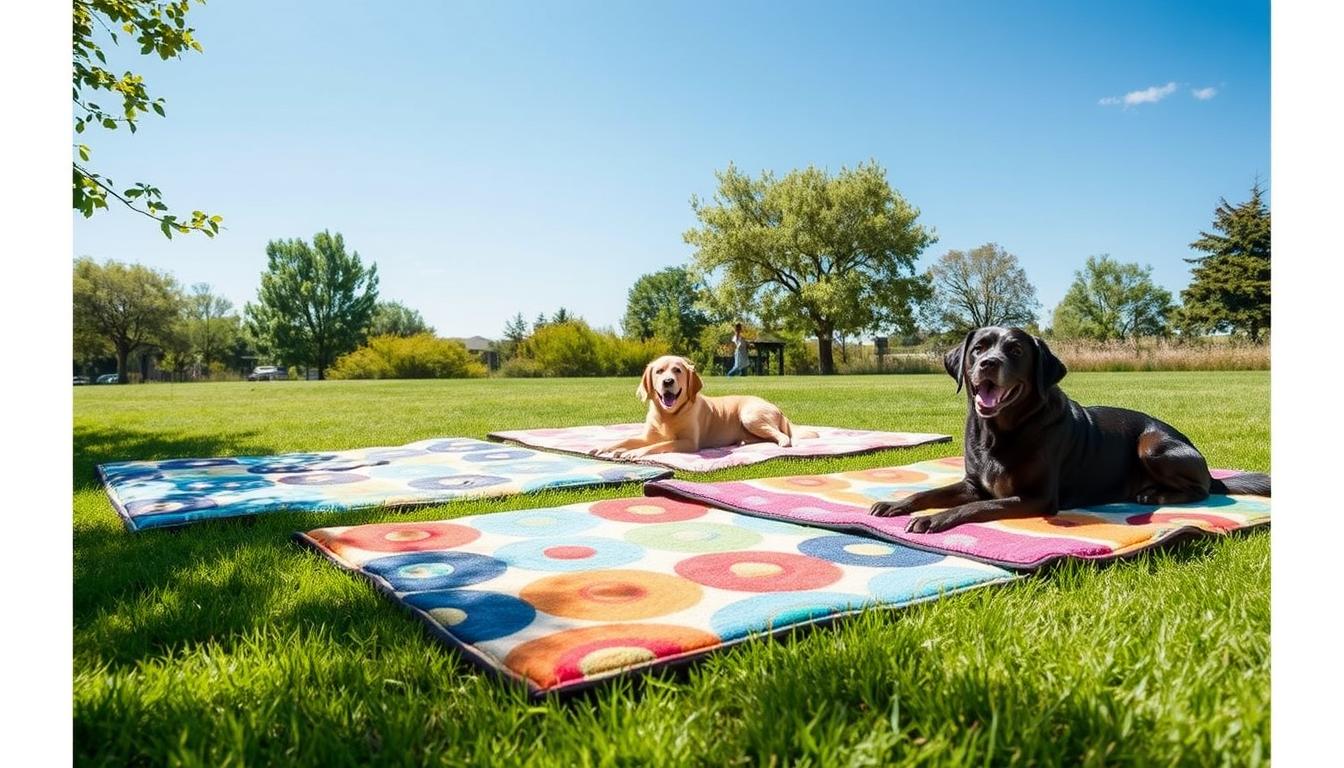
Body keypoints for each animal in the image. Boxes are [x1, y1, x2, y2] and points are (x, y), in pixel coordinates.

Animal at [594, 352, 811, 457]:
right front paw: (606, 448)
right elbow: (627, 439)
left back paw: (783, 442)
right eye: (659, 371)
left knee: (781, 434)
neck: (667, 415)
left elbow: (660, 445)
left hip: (750, 416)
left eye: (677, 370)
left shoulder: (689, 442)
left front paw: (634, 453)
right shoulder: (647, 436)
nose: (668, 381)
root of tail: (776, 407)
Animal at [870, 325, 1268, 535]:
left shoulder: (1038, 498)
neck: (998, 431)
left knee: (1203, 489)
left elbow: (979, 507)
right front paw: (897, 504)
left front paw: (933, 519)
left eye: (1015, 350)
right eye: (978, 348)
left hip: (1152, 445)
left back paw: (1155, 495)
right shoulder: (973, 483)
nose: (988, 364)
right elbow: (930, 492)